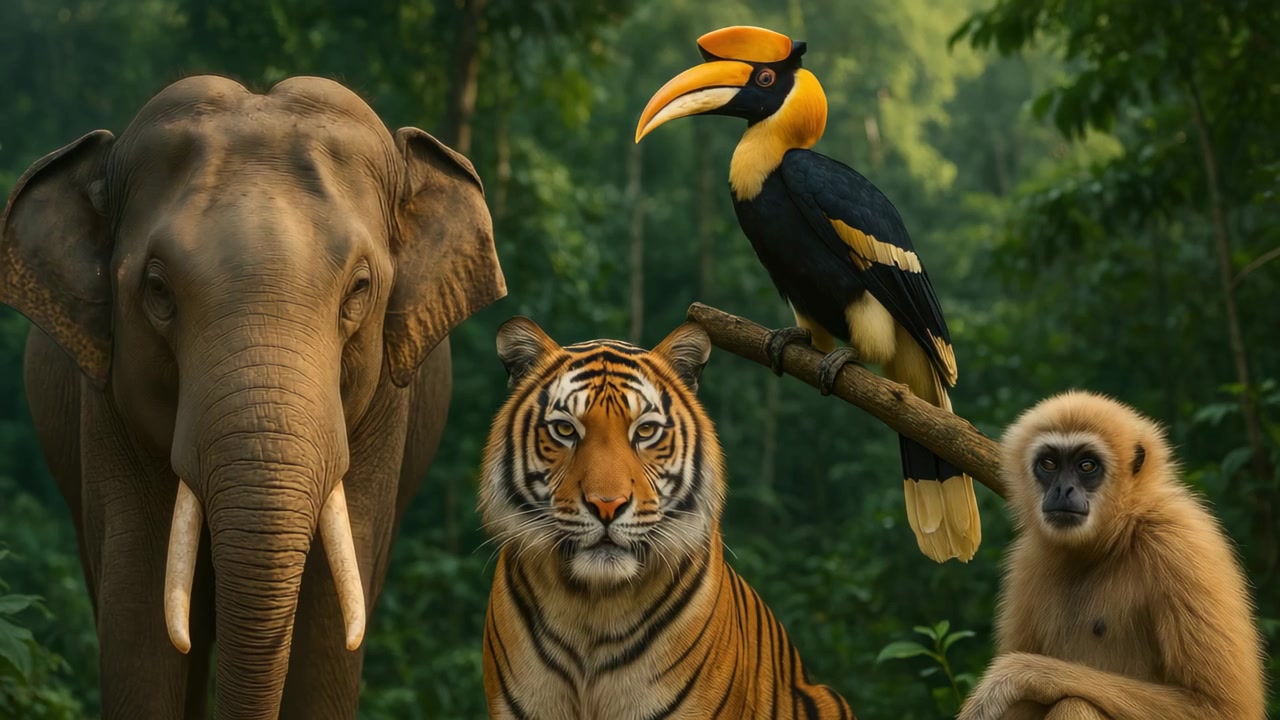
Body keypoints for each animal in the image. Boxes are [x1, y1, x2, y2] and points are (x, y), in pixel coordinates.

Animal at [0, 75, 506, 719]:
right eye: (158, 290)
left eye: (360, 288)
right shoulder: (106, 401)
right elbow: (140, 610)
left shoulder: (386, 410)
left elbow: (329, 618)